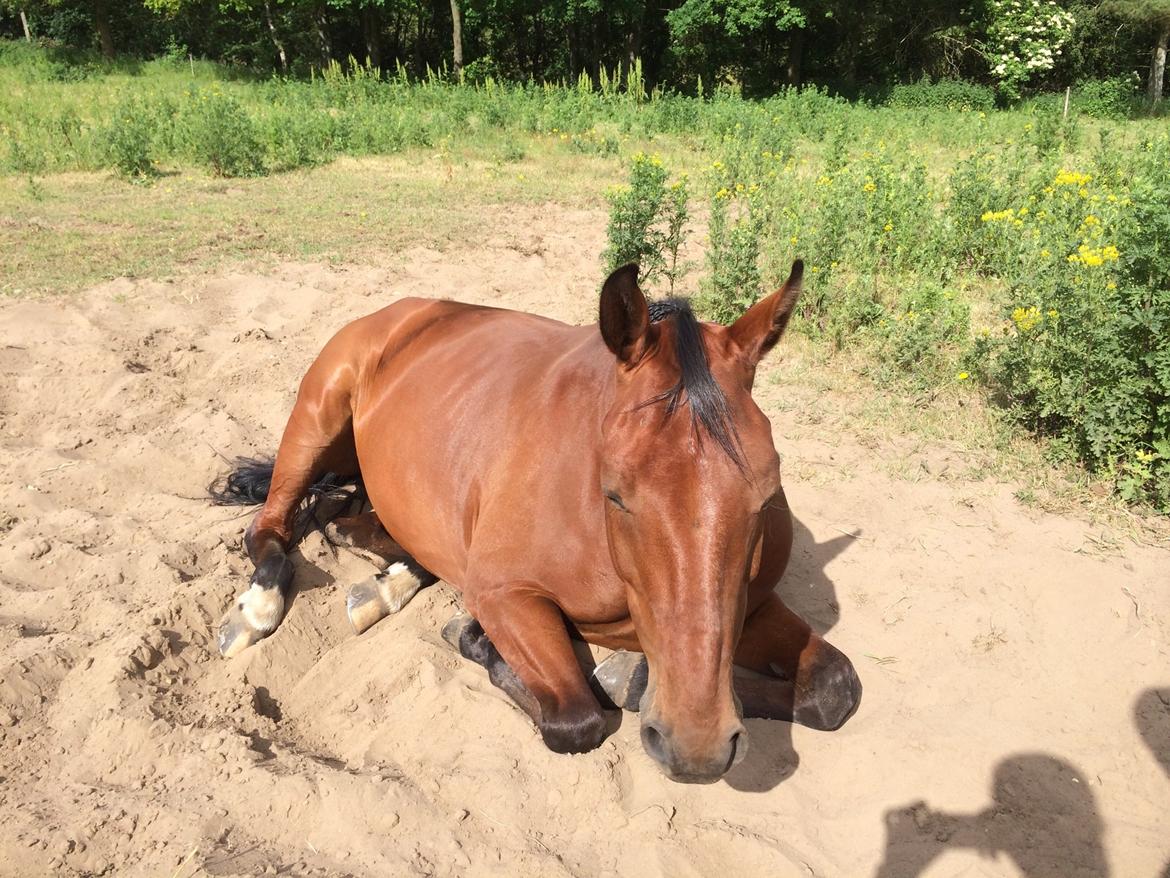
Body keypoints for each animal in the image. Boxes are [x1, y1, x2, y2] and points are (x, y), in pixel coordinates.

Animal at [210, 261, 861, 782]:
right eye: (615, 493)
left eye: (766, 495)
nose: (695, 747)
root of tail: (400, 313)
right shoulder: (505, 595)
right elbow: (577, 718)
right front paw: (497, 643)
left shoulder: (749, 605)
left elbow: (836, 687)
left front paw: (628, 671)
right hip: (315, 420)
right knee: (271, 528)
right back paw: (257, 611)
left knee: (342, 517)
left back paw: (384, 581)